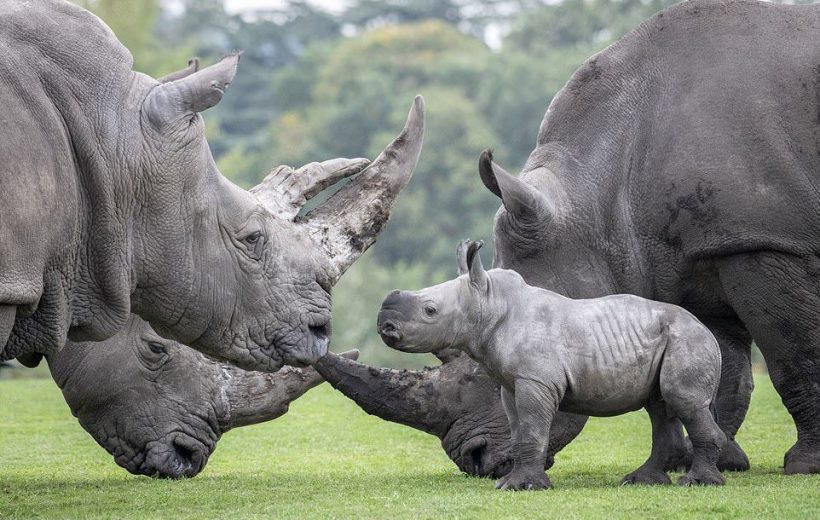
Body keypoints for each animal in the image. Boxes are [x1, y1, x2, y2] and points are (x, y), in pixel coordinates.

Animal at [477, 0, 819, 474]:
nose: (478, 458)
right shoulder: (701, 250)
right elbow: (722, 367)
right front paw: (716, 460)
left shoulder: (763, 241)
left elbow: (794, 354)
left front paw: (804, 464)